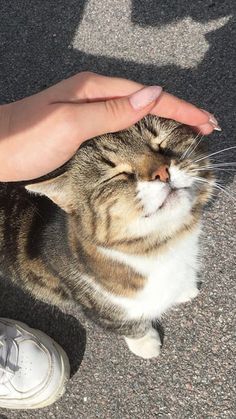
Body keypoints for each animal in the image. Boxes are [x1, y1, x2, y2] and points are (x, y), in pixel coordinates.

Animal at [0, 116, 214, 360]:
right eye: (118, 174)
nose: (162, 172)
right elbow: (126, 325)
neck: (162, 244)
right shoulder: (98, 307)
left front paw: (184, 288)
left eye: (160, 142)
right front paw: (145, 343)